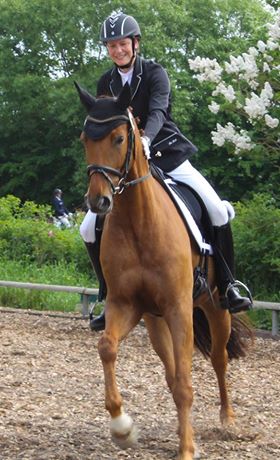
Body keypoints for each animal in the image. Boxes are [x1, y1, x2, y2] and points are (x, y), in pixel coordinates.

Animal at [75, 82, 252, 460]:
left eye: (119, 138)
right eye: (84, 139)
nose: (99, 202)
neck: (138, 222)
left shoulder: (178, 308)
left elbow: (187, 381)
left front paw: (186, 449)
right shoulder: (126, 305)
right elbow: (107, 348)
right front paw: (122, 428)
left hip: (214, 307)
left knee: (218, 360)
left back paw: (228, 420)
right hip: (155, 321)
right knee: (171, 372)